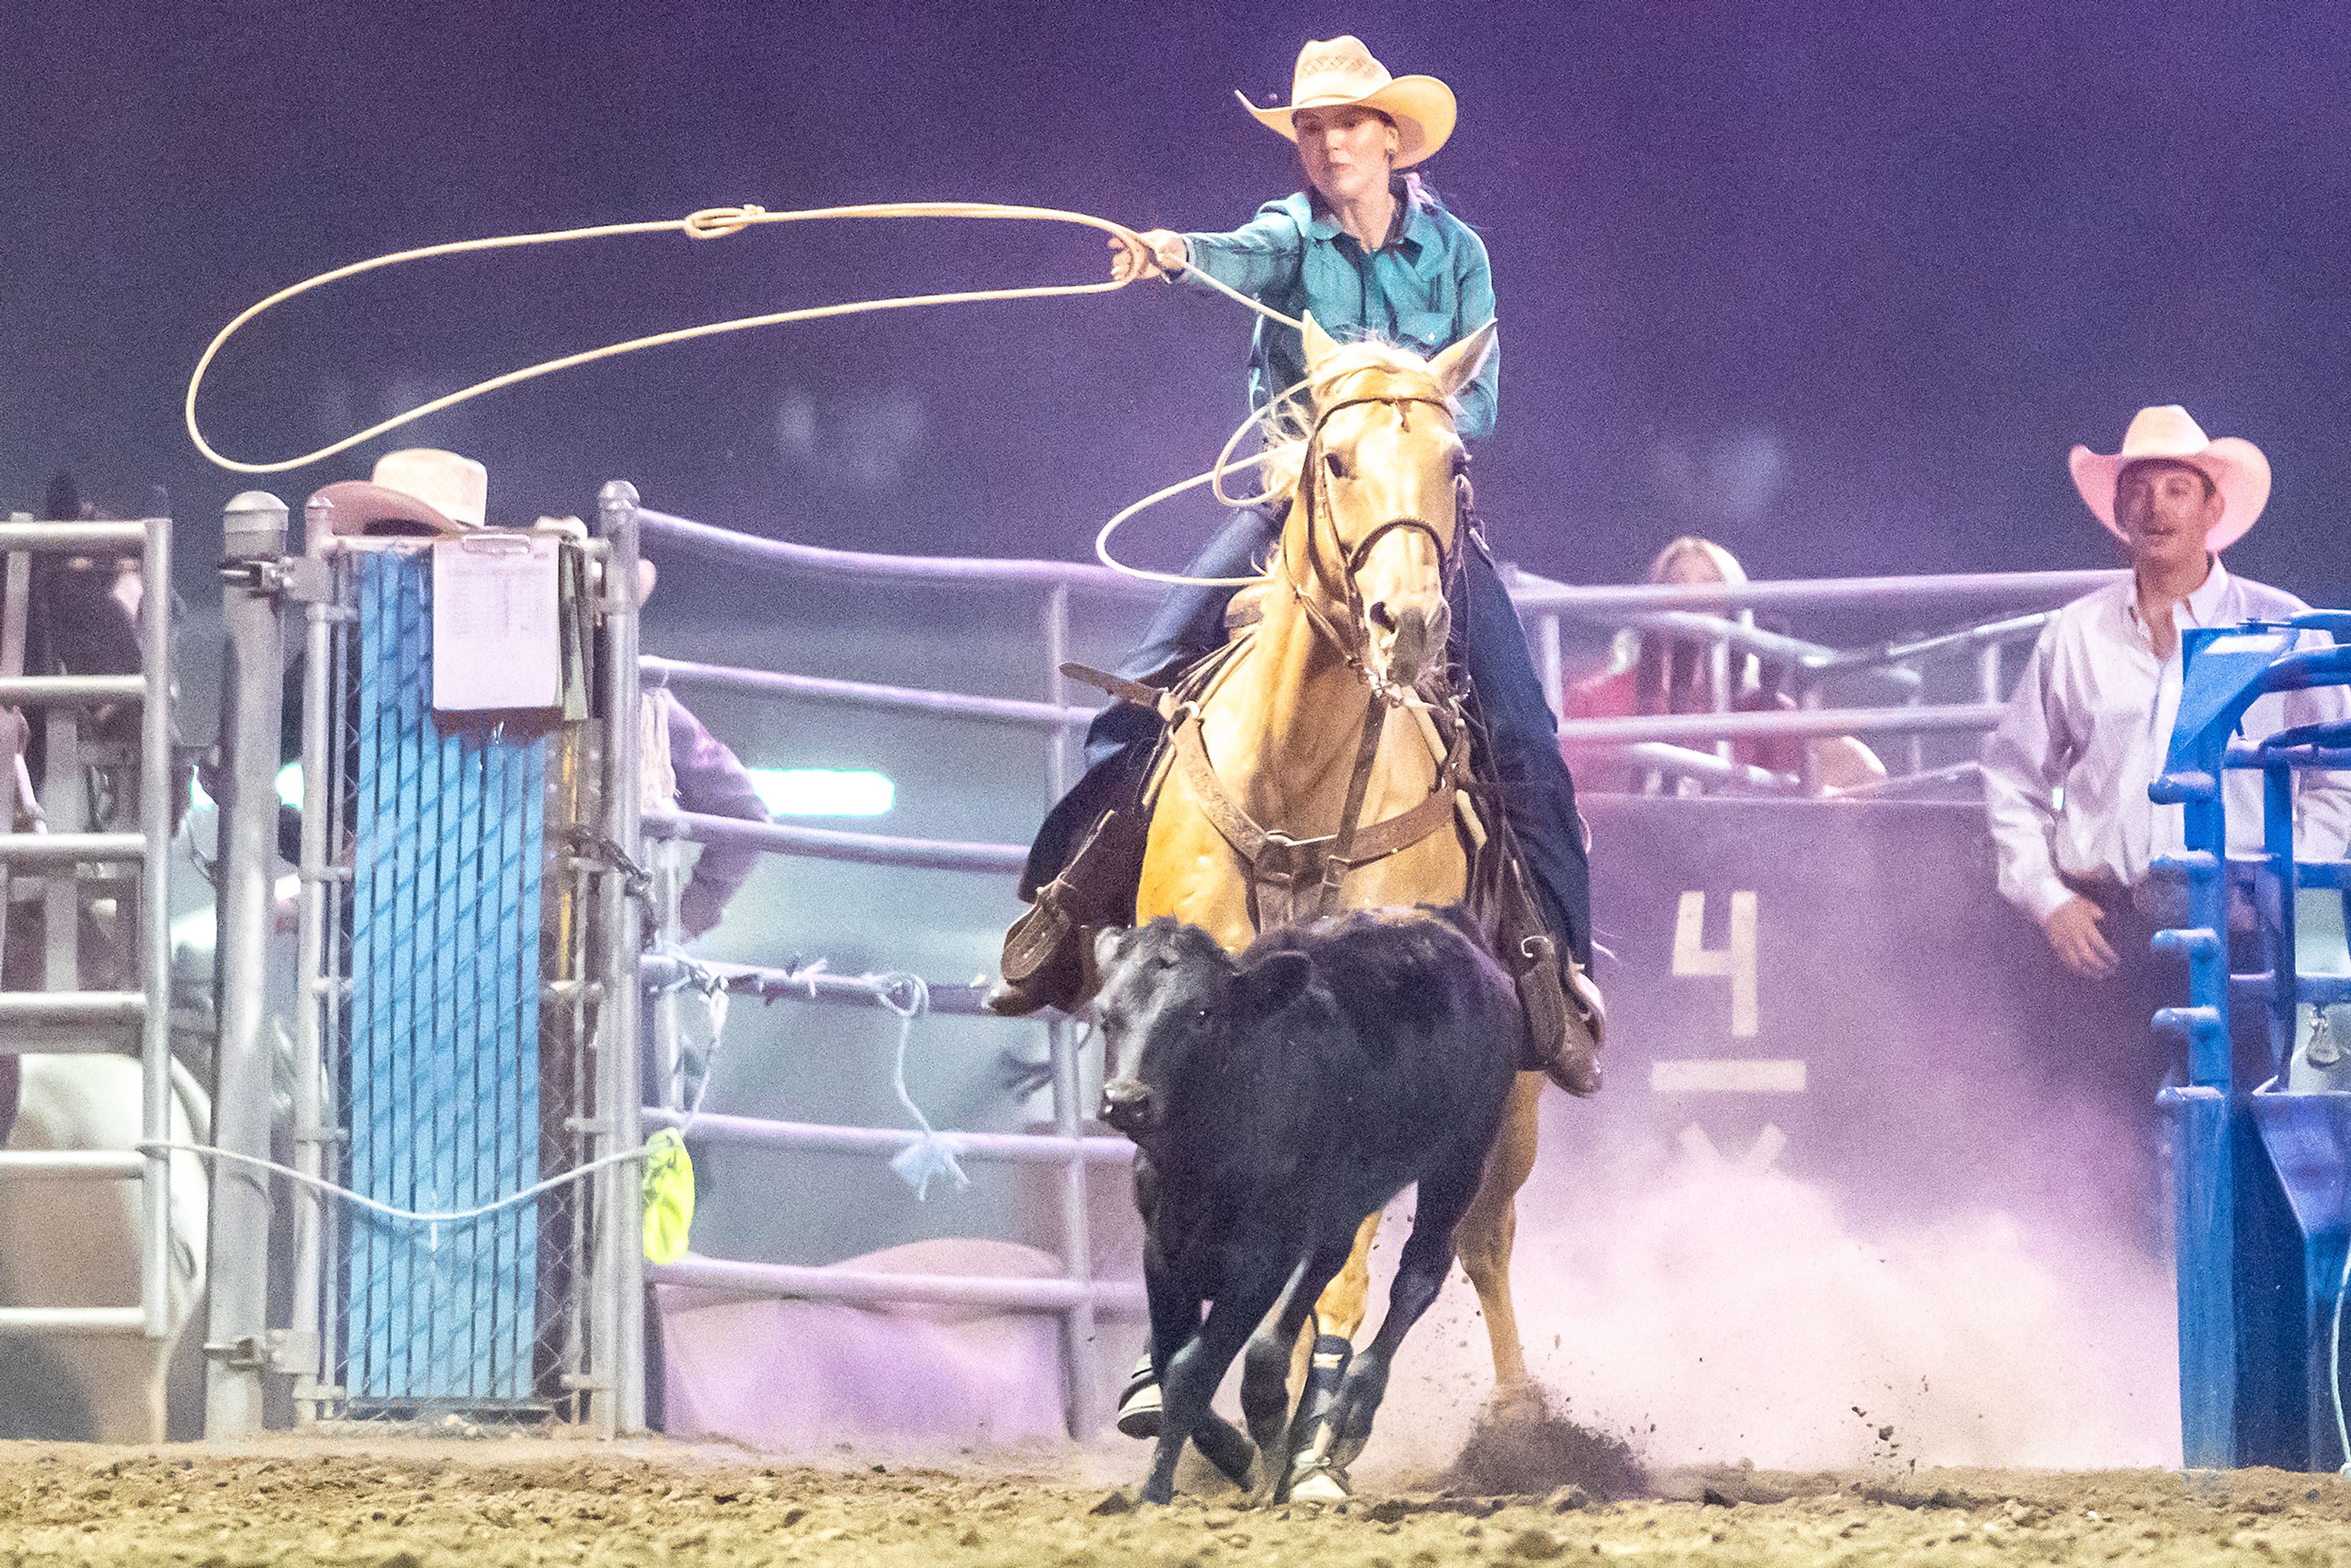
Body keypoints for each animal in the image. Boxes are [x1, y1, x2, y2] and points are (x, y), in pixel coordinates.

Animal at [1090, 907, 1513, 1504]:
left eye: (1202, 1013)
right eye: (1106, 1016)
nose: (1127, 1100)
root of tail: (1452, 926)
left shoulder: (1263, 1257)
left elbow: (1196, 1366)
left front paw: (1154, 1490)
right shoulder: (1163, 1249)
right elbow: (1172, 1359)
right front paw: (1238, 1454)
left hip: (1461, 1159)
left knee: (1418, 1275)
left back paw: (1349, 1413)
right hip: (1344, 1199)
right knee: (1328, 1269)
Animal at [1133, 315, 1542, 1495]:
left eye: (1455, 464)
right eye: (1338, 459)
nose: (1410, 621)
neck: (1296, 784)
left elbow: (1342, 1264)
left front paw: (1298, 1424)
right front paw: (1183, 1408)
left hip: (1510, 1108)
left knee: (1479, 1242)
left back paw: (1496, 1420)